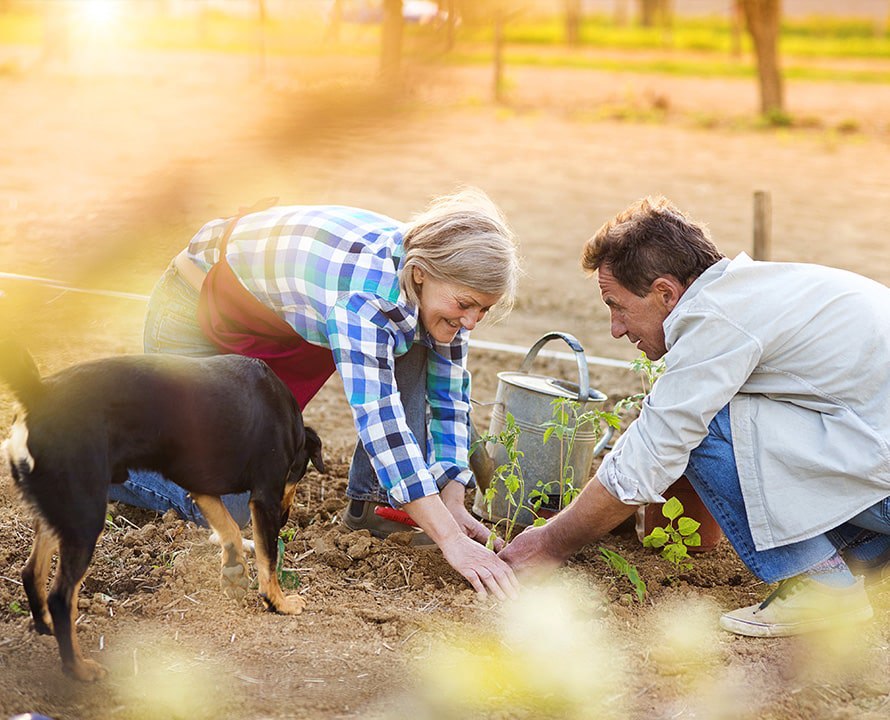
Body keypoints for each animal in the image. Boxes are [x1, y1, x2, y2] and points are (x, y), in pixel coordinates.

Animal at [0, 344, 324, 680]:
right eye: (300, 473)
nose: (286, 519)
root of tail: (38, 392)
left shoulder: (200, 485)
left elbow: (230, 529)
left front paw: (234, 569)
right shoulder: (265, 497)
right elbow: (268, 558)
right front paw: (279, 603)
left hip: (62, 512)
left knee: (30, 572)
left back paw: (45, 626)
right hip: (85, 517)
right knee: (61, 598)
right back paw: (78, 668)